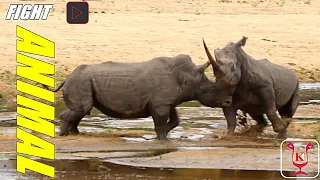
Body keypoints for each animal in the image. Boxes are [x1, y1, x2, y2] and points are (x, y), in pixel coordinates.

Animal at [47, 54, 232, 141]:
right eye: (212, 89)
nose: (228, 102)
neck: (189, 77)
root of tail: (67, 77)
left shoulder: (167, 101)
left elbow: (175, 119)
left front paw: (165, 135)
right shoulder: (160, 103)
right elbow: (160, 123)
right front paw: (162, 139)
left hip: (82, 80)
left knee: (81, 110)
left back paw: (75, 134)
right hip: (80, 81)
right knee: (82, 109)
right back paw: (63, 136)